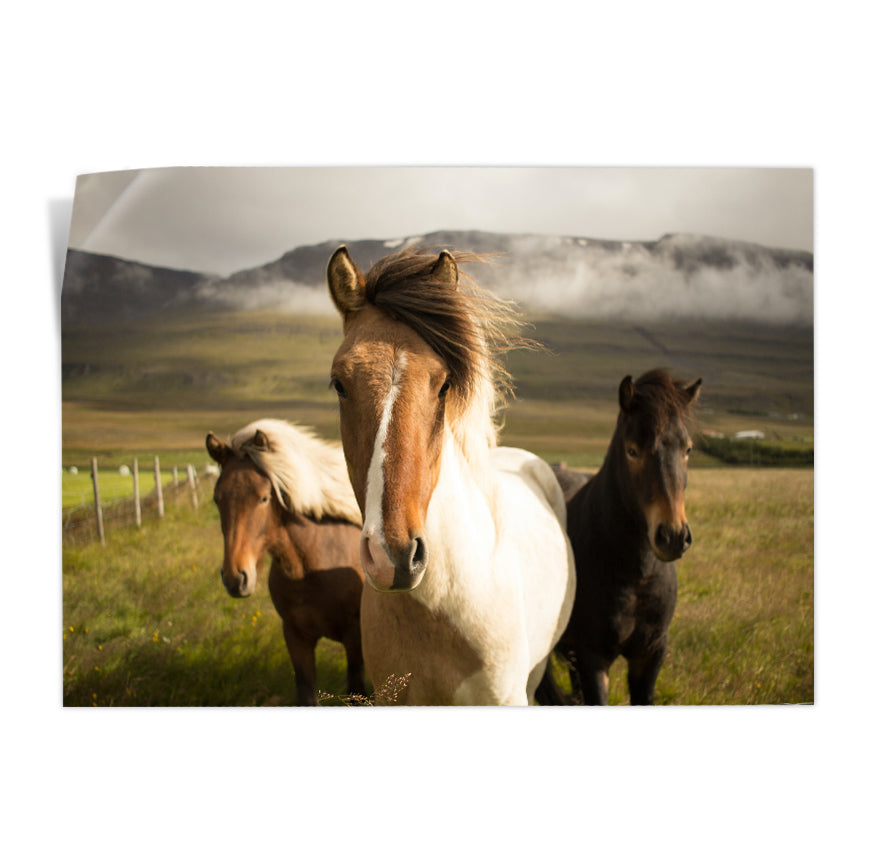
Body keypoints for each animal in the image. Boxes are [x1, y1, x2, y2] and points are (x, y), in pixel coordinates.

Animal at [206, 419, 366, 706]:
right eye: (217, 498)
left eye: (263, 497)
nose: (235, 578)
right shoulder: (295, 637)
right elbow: (305, 692)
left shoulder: (354, 638)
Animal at [538, 369, 702, 706]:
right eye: (633, 450)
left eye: (688, 449)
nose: (673, 536)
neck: (637, 575)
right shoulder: (592, 657)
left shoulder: (650, 655)